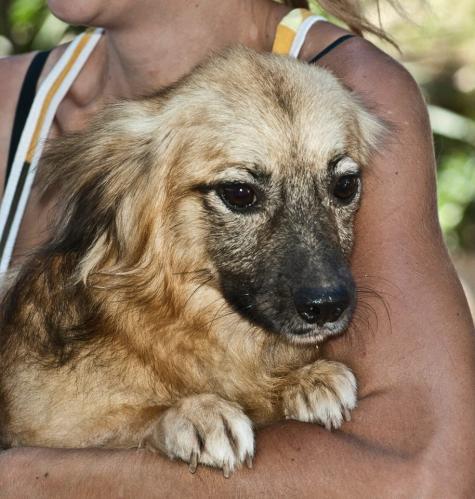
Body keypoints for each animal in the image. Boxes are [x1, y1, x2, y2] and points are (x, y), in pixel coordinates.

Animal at [0, 47, 384, 476]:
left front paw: (304, 379)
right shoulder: (42, 426)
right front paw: (195, 414)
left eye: (345, 185)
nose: (327, 306)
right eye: (239, 193)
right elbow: (118, 421)